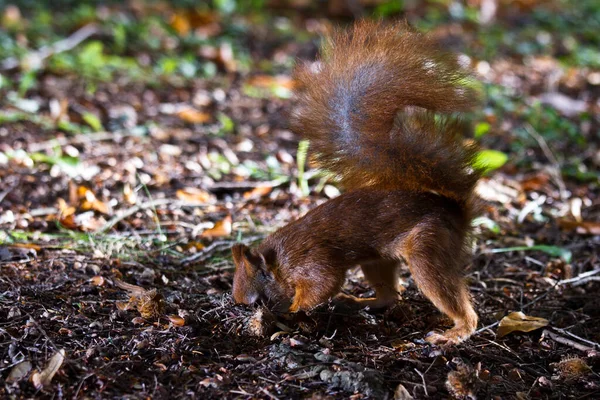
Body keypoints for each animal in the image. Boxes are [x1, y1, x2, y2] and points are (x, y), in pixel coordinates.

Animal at [230, 20, 482, 346]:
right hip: (377, 260)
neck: (278, 262)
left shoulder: (312, 262)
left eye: (258, 300)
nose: (246, 317)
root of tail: (455, 209)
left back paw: (455, 332)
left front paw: (295, 310)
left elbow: (324, 283)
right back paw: (358, 302)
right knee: (389, 296)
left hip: (429, 247)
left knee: (451, 298)